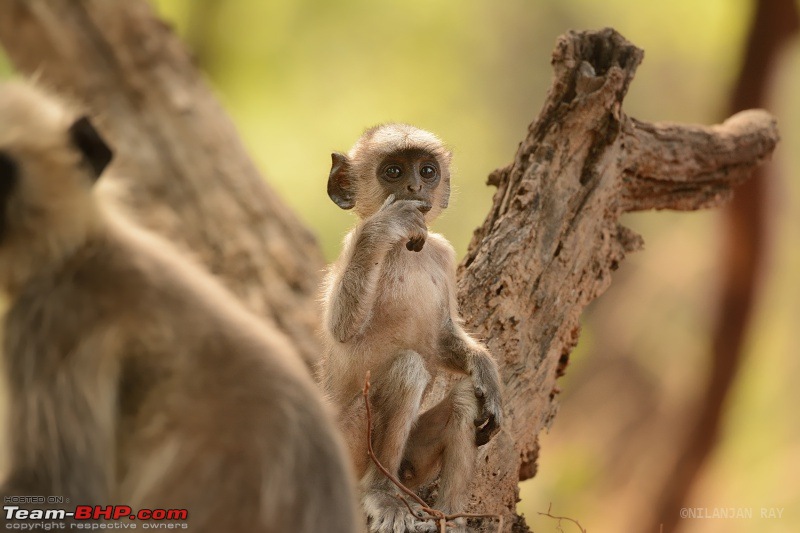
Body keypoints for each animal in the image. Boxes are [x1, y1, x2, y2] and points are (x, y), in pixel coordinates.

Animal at [320, 123, 504, 532]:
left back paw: (451, 516)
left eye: (427, 171)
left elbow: (444, 337)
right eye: (393, 172)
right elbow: (340, 329)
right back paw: (381, 494)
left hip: (414, 464)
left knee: (467, 397)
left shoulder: (443, 253)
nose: (415, 187)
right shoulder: (353, 241)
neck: (406, 249)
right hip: (348, 440)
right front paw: (388, 225)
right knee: (408, 369)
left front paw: (486, 370)